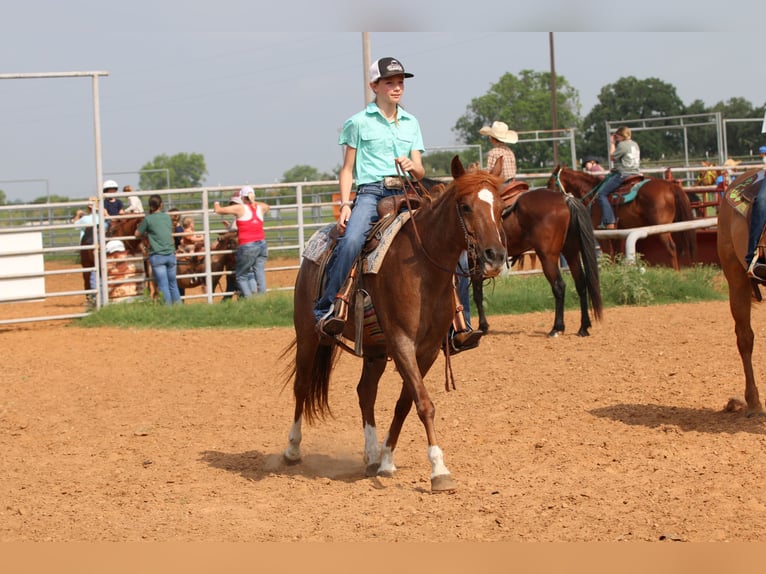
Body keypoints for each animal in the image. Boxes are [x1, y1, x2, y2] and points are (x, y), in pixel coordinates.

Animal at [282, 156, 508, 493]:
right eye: (465, 206)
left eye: (501, 207)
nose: (495, 256)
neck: (424, 268)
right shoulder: (402, 342)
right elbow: (424, 403)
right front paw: (439, 470)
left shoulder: (427, 350)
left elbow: (406, 402)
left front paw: (387, 460)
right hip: (308, 334)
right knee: (302, 386)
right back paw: (292, 449)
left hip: (375, 348)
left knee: (365, 392)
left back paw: (371, 454)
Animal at [471, 187, 603, 337]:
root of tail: (565, 199)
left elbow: (476, 295)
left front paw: (482, 326)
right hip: (571, 252)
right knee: (580, 284)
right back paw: (583, 327)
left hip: (548, 257)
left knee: (559, 286)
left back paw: (557, 328)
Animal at [547, 165, 697, 270]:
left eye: (551, 184)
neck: (592, 194)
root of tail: (670, 186)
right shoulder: (617, 234)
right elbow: (618, 257)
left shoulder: (603, 234)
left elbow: (609, 256)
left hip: (662, 229)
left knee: (671, 248)